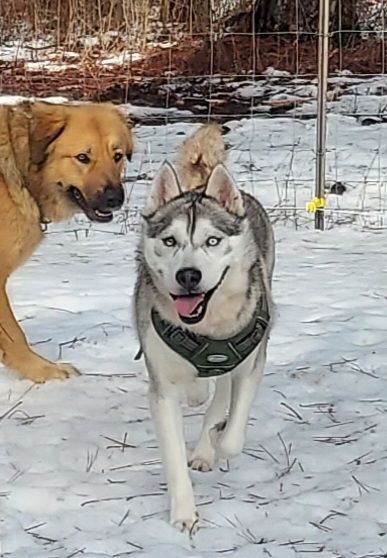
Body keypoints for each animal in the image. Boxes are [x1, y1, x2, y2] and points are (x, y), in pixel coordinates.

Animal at [135, 124, 274, 536]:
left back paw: (206, 443)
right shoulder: (162, 387)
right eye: (170, 241)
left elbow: (232, 435)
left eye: (212, 240)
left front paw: (218, 436)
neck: (206, 328)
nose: (188, 275)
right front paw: (184, 514)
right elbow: (173, 454)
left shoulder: (251, 360)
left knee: (222, 390)